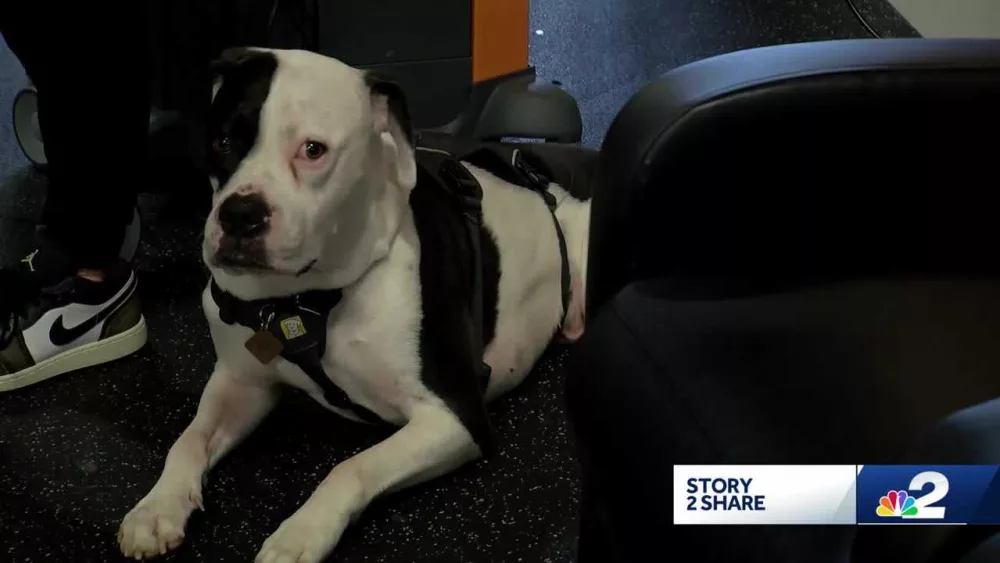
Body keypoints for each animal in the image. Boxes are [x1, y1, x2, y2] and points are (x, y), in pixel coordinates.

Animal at [119, 49, 584, 563]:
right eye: (223, 142)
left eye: (313, 150)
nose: (240, 215)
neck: (301, 302)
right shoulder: (241, 382)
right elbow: (188, 440)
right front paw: (157, 506)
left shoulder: (454, 416)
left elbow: (350, 468)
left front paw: (300, 534)